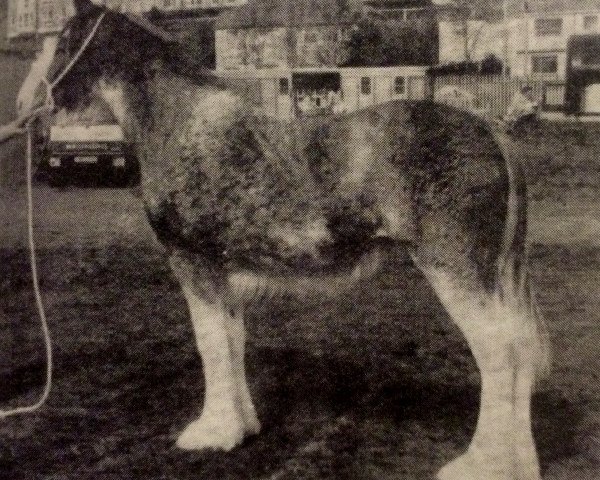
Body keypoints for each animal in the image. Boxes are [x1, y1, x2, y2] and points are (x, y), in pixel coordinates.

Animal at [17, 1, 552, 478]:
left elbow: (210, 343)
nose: (24, 105)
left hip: (456, 270)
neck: (180, 123)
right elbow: (231, 340)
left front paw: (210, 433)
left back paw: (482, 465)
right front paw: (240, 428)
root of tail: (492, 130)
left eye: (61, 41)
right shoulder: (222, 274)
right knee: (520, 352)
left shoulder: (194, 262)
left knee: (500, 354)